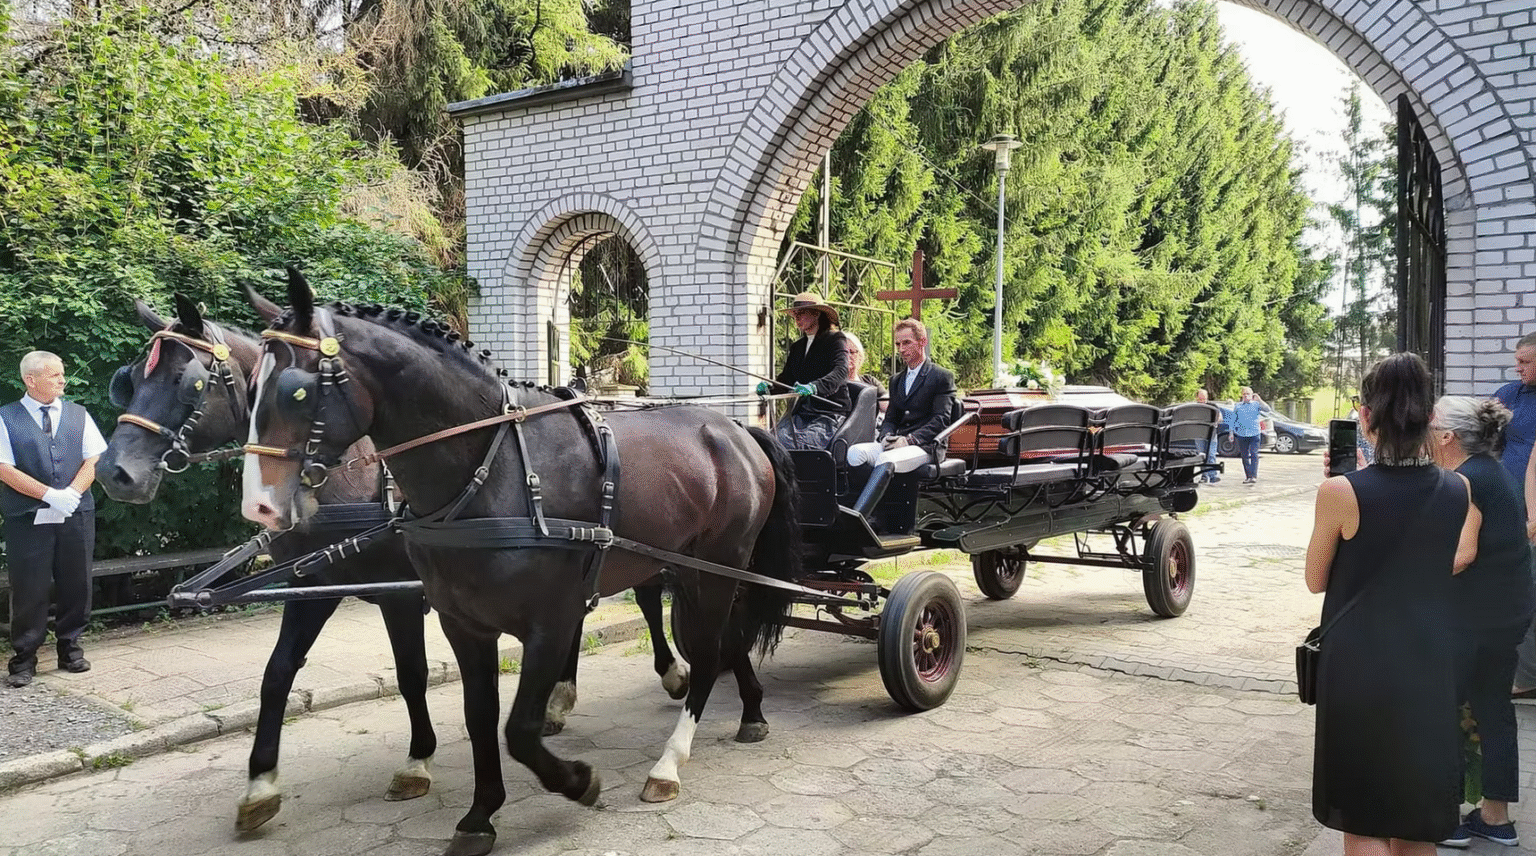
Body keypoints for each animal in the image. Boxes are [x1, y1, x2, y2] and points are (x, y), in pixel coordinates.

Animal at [239, 271, 802, 856]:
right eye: (250, 389)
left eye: (297, 390)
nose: (259, 506)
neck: (493, 472)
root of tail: (737, 430)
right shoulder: (461, 623)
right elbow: (480, 716)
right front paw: (480, 814)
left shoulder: (549, 621)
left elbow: (519, 729)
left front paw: (577, 781)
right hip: (694, 570)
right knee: (725, 638)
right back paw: (750, 711)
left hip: (718, 566)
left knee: (711, 651)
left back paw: (670, 762)